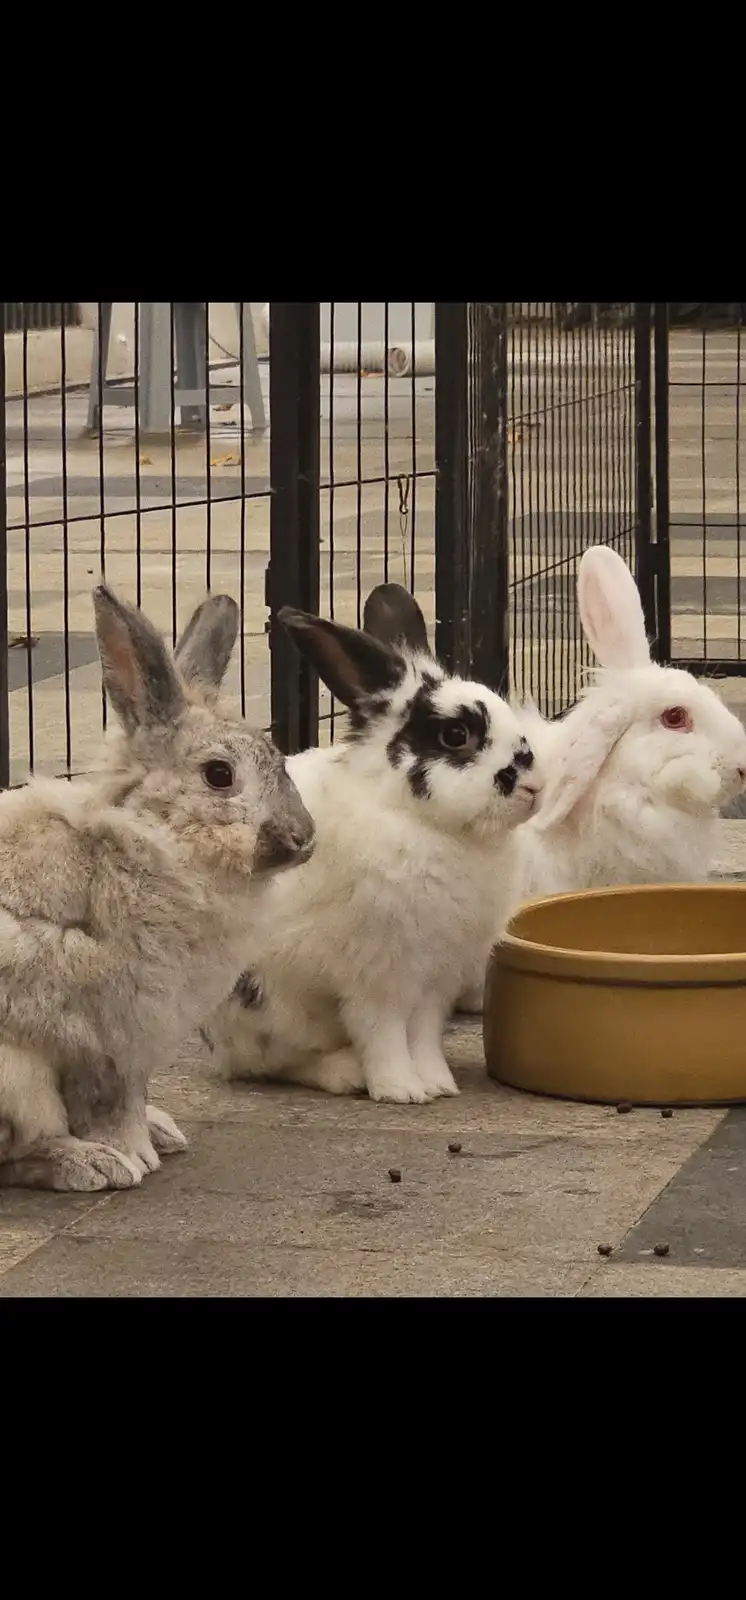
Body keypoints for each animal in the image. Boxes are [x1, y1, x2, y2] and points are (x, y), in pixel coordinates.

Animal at [0, 586, 315, 1192]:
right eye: (219, 775)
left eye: (279, 761)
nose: (303, 839)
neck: (153, 836)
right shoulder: (101, 1039)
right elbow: (107, 1105)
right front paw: (131, 1157)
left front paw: (149, 1138)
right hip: (14, 1079)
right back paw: (88, 1164)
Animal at [204, 584, 544, 1103]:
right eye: (456, 734)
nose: (535, 787)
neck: (426, 823)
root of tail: (214, 1045)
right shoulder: (377, 978)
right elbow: (382, 1033)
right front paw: (400, 1089)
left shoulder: (435, 983)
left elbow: (424, 1035)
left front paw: (438, 1084)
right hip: (270, 1008)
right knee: (270, 1063)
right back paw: (345, 1073)